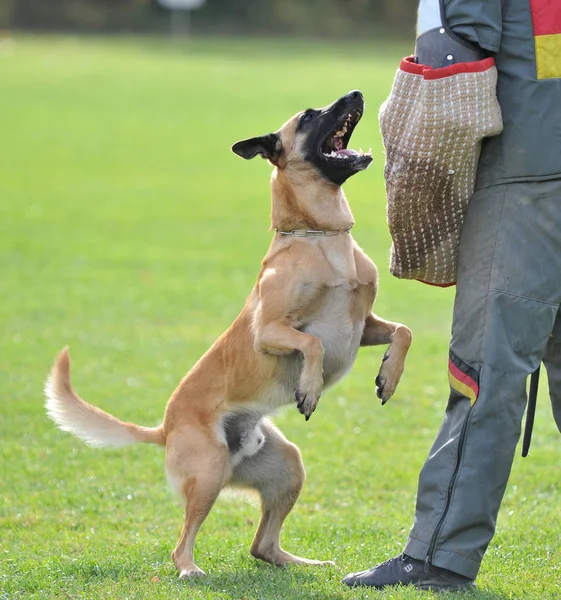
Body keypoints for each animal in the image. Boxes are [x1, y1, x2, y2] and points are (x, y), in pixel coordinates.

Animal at [44, 91, 412, 580]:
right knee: (182, 543)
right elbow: (312, 343)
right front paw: (310, 389)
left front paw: (389, 377)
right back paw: (189, 570)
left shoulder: (364, 324)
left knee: (263, 545)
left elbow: (403, 331)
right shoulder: (269, 331)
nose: (355, 94)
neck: (320, 237)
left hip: (285, 466)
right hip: (209, 473)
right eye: (309, 116)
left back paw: (304, 562)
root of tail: (165, 428)